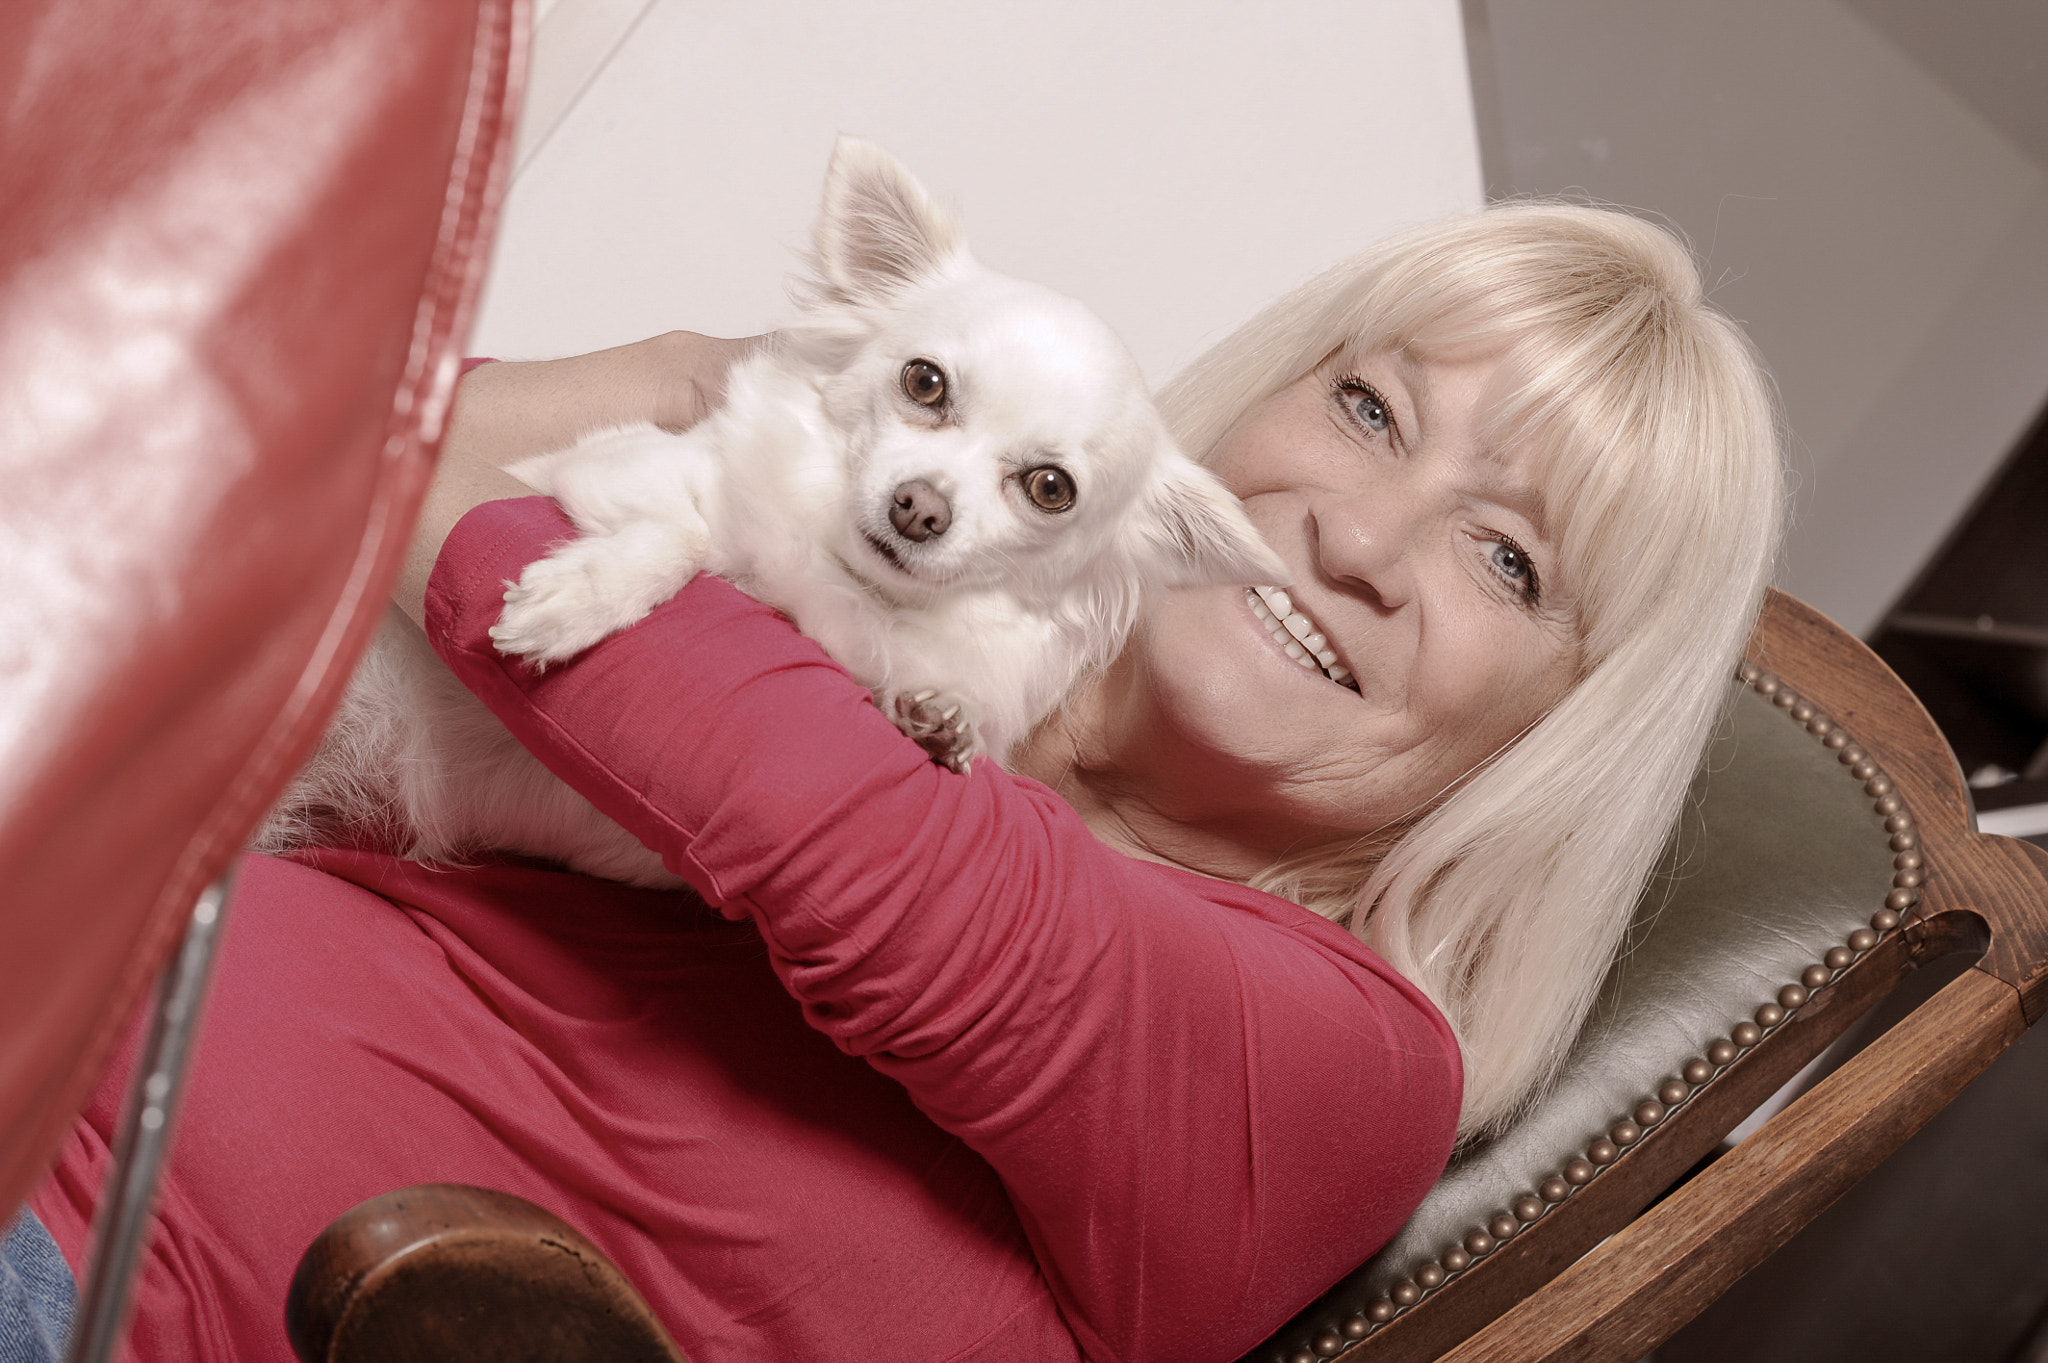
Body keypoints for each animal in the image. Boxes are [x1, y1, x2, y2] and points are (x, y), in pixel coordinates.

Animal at [256, 138, 1277, 880]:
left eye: (1050, 488)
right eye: (925, 382)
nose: (919, 508)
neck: (831, 580)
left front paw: (934, 718)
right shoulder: (597, 466)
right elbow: (680, 530)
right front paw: (575, 601)